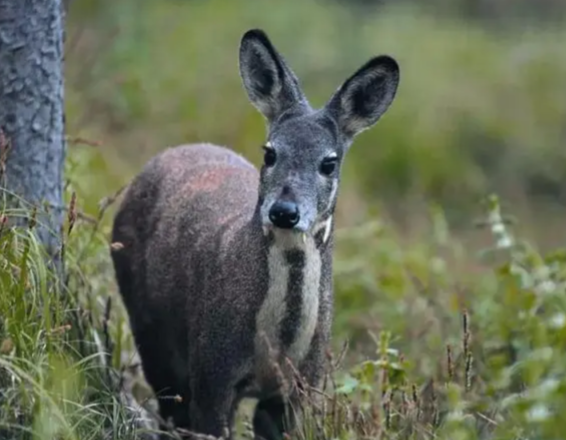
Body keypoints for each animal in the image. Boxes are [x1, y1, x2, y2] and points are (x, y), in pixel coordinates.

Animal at [111, 29, 402, 438]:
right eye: (269, 152)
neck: (276, 346)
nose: (284, 212)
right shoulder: (212, 370)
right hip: (148, 326)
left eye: (329, 162)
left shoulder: (300, 387)